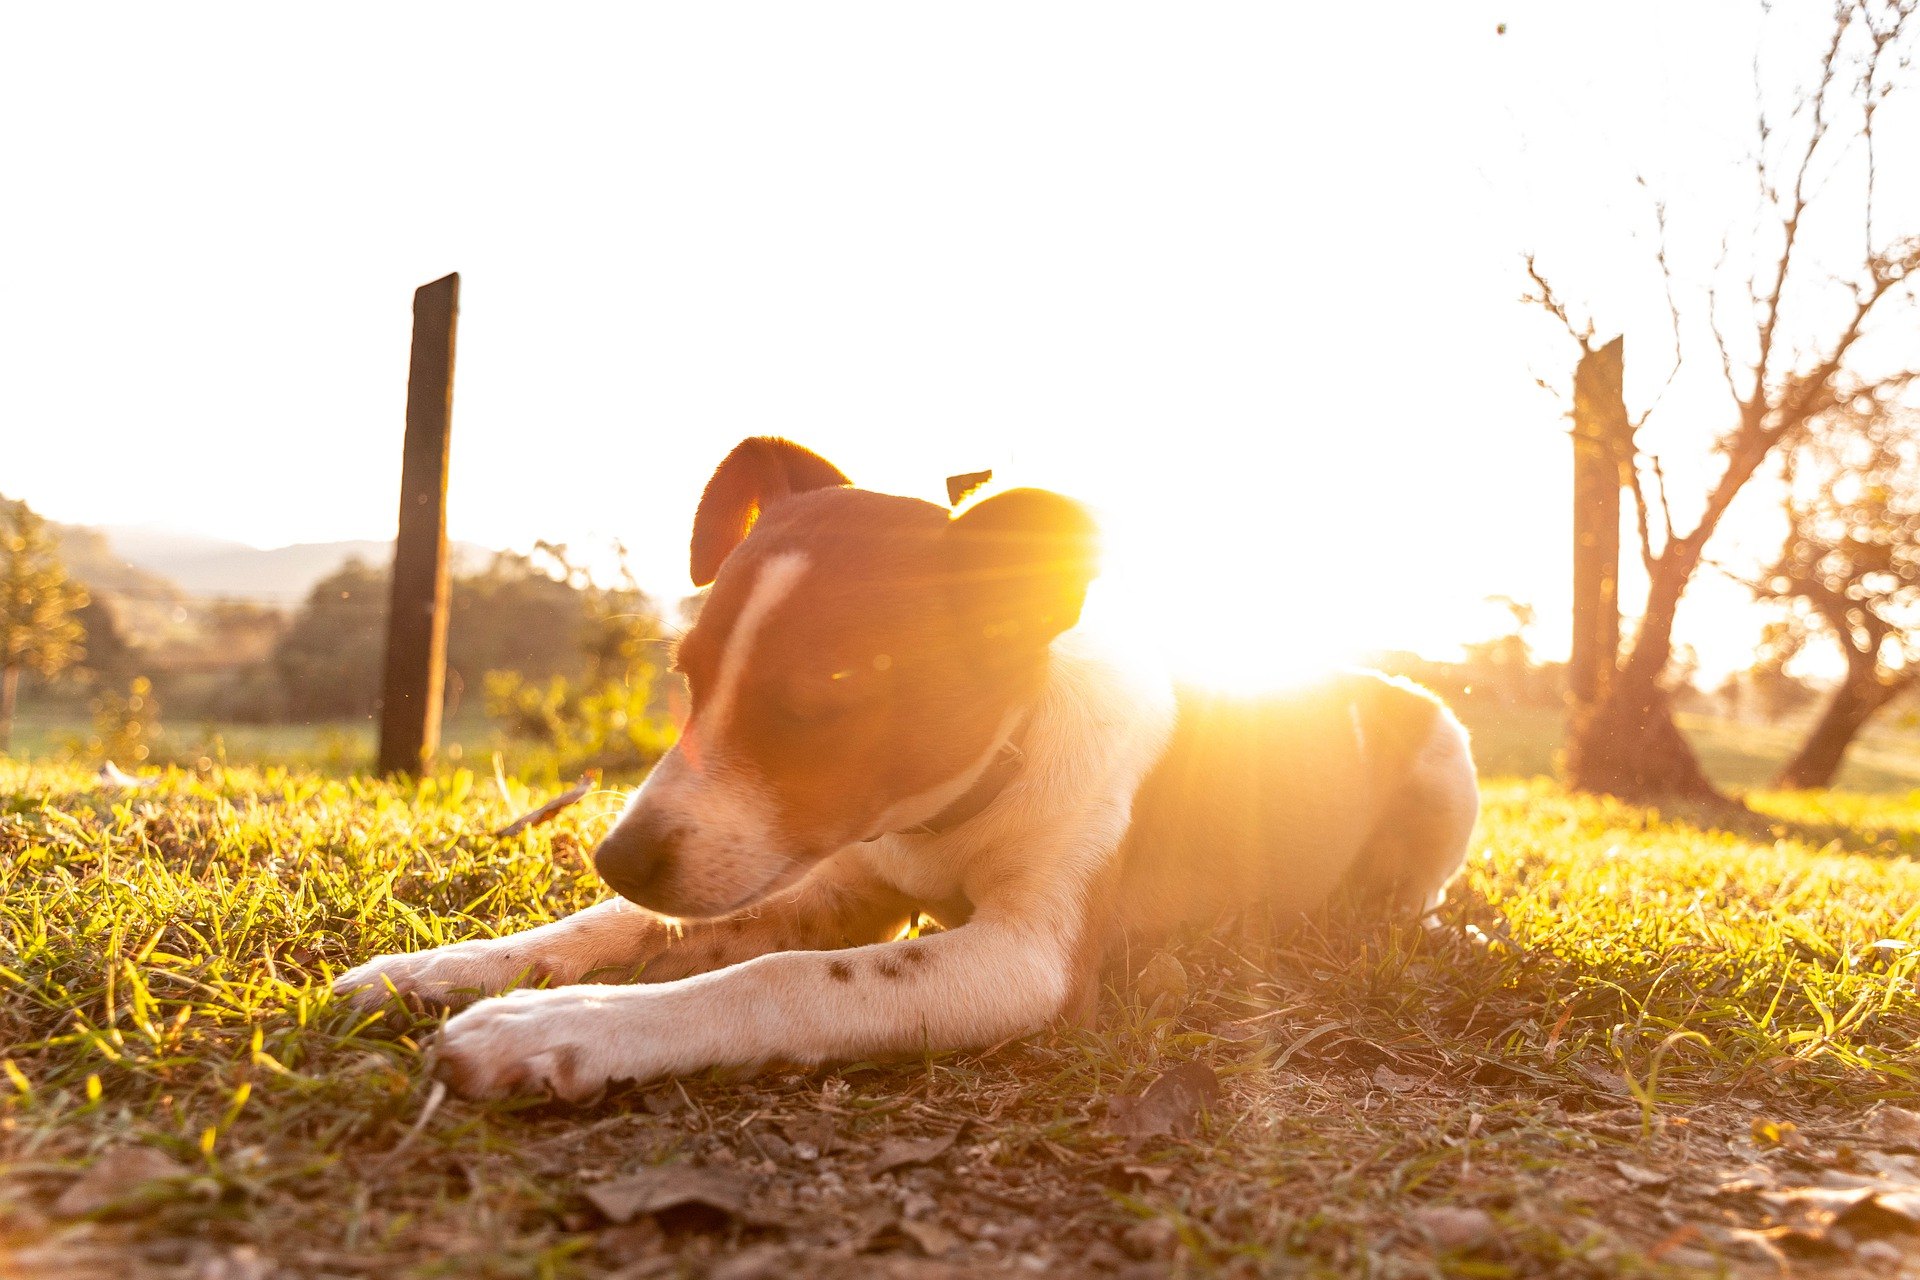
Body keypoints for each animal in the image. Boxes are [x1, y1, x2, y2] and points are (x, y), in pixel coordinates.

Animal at [337, 441, 1474, 1105]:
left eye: (829, 690)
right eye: (690, 673)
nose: (618, 853)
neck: (972, 794)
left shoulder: (1028, 958)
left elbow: (783, 979)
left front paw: (559, 1029)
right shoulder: (841, 877)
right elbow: (621, 928)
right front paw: (445, 966)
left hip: (1446, 755)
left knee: (1410, 895)